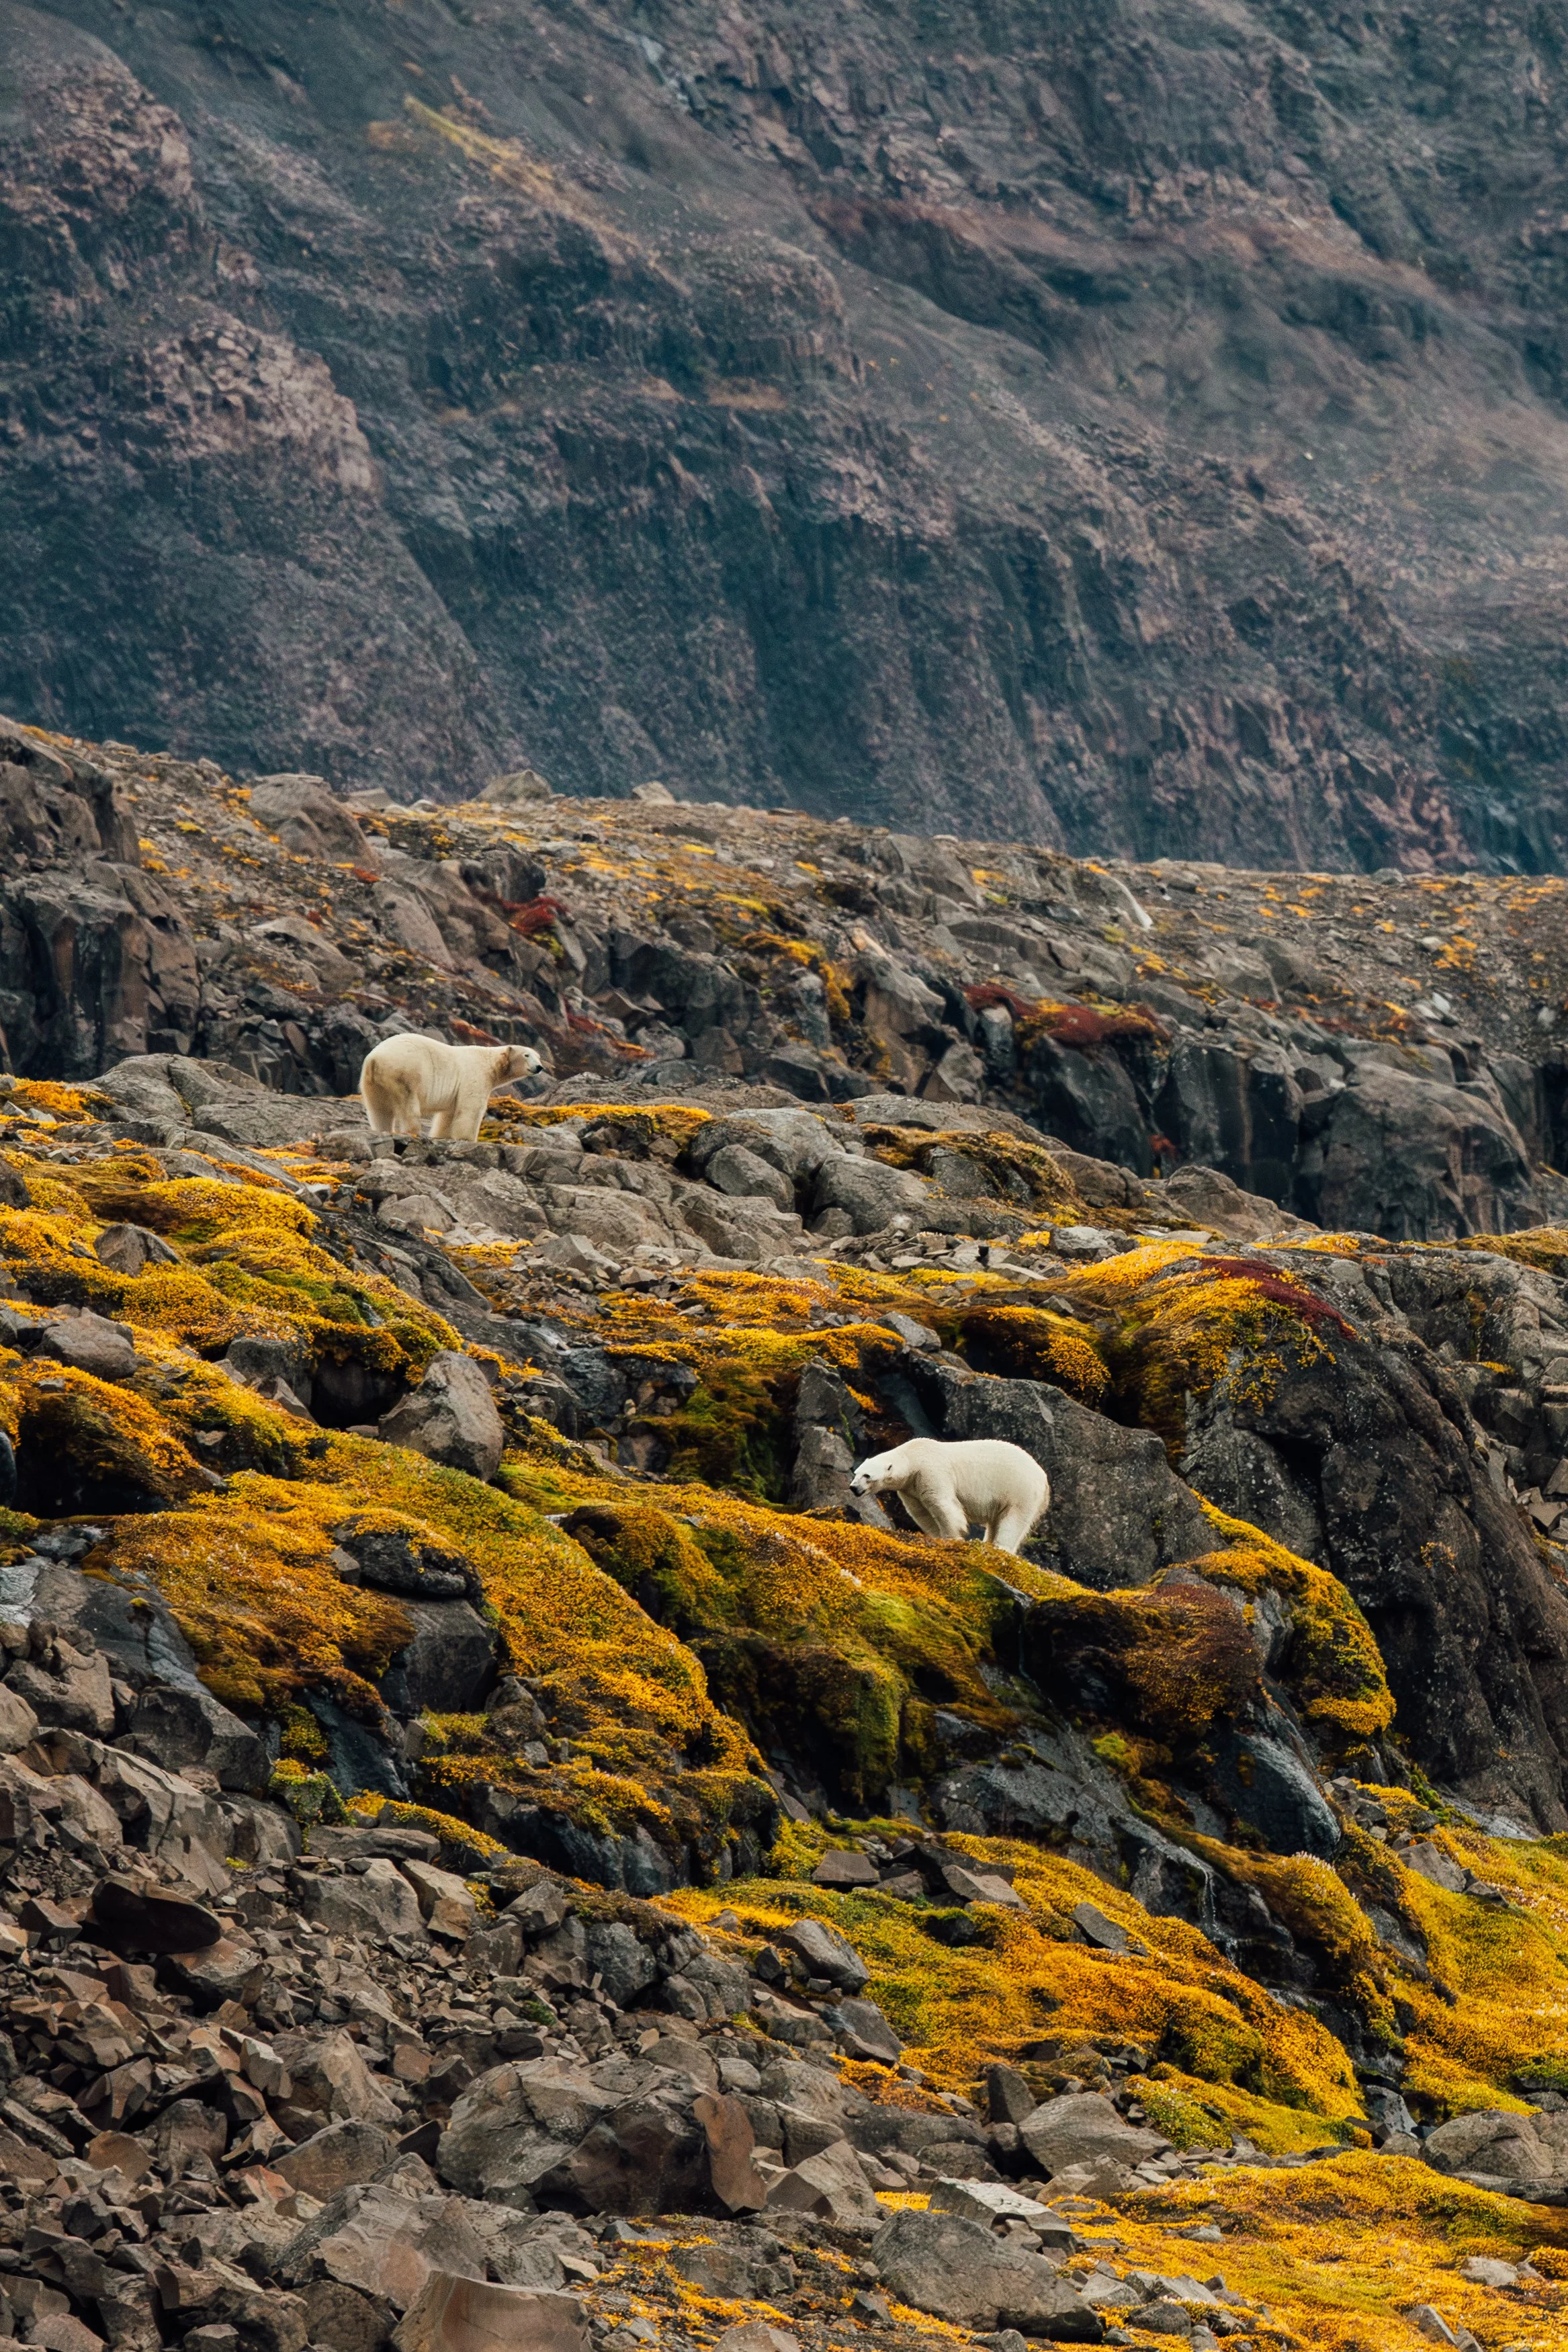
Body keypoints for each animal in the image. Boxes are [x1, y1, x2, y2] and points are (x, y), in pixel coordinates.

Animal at [359, 1036, 542, 1142]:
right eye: (526, 1055)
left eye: (539, 1056)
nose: (539, 1067)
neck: (491, 1063)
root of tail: (374, 1058)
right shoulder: (475, 1075)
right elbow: (471, 1108)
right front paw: (468, 1138)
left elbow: (449, 1114)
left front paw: (441, 1135)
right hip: (406, 1071)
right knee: (408, 1104)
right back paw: (414, 1131)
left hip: (374, 1082)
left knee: (379, 1109)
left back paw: (382, 1129)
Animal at [849, 1436, 1049, 1556]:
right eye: (856, 1473)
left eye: (867, 1476)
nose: (853, 1488)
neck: (914, 1456)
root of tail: (1044, 1478)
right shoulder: (910, 1487)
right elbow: (921, 1512)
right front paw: (937, 1535)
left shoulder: (931, 1470)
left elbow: (941, 1503)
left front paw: (953, 1536)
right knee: (997, 1521)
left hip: (1019, 1489)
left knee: (1014, 1519)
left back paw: (1001, 1547)